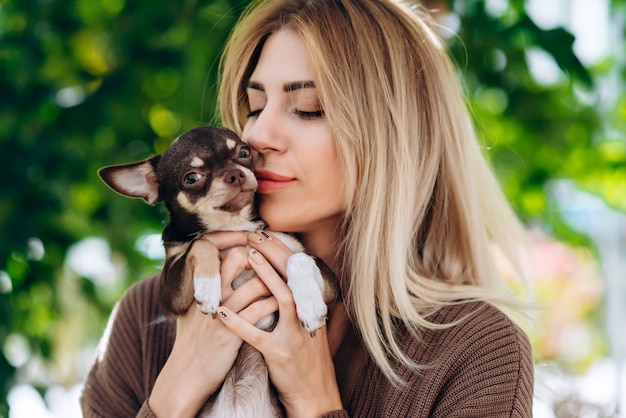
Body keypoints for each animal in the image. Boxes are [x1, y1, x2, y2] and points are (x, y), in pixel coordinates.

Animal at [100, 125, 336, 416]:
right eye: (192, 178)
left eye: (244, 153)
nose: (235, 173)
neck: (234, 225)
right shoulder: (170, 296)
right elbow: (203, 243)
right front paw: (208, 287)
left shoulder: (327, 281)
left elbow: (299, 258)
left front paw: (310, 306)